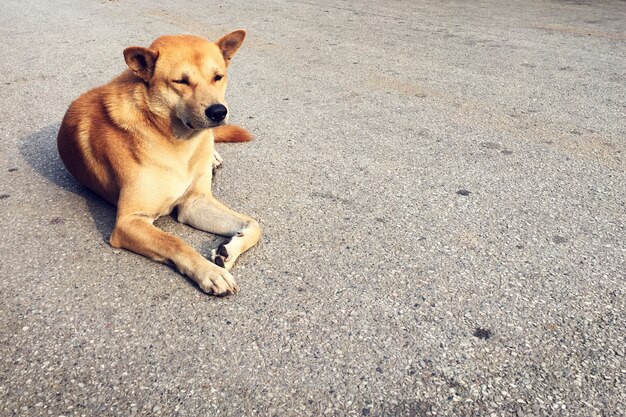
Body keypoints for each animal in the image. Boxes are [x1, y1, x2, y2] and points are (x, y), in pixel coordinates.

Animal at [58, 30, 260, 294]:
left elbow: (255, 225)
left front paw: (229, 250)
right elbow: (175, 242)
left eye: (218, 77)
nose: (218, 112)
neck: (177, 142)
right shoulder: (129, 222)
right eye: (181, 81)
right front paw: (210, 272)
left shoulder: (195, 203)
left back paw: (213, 157)